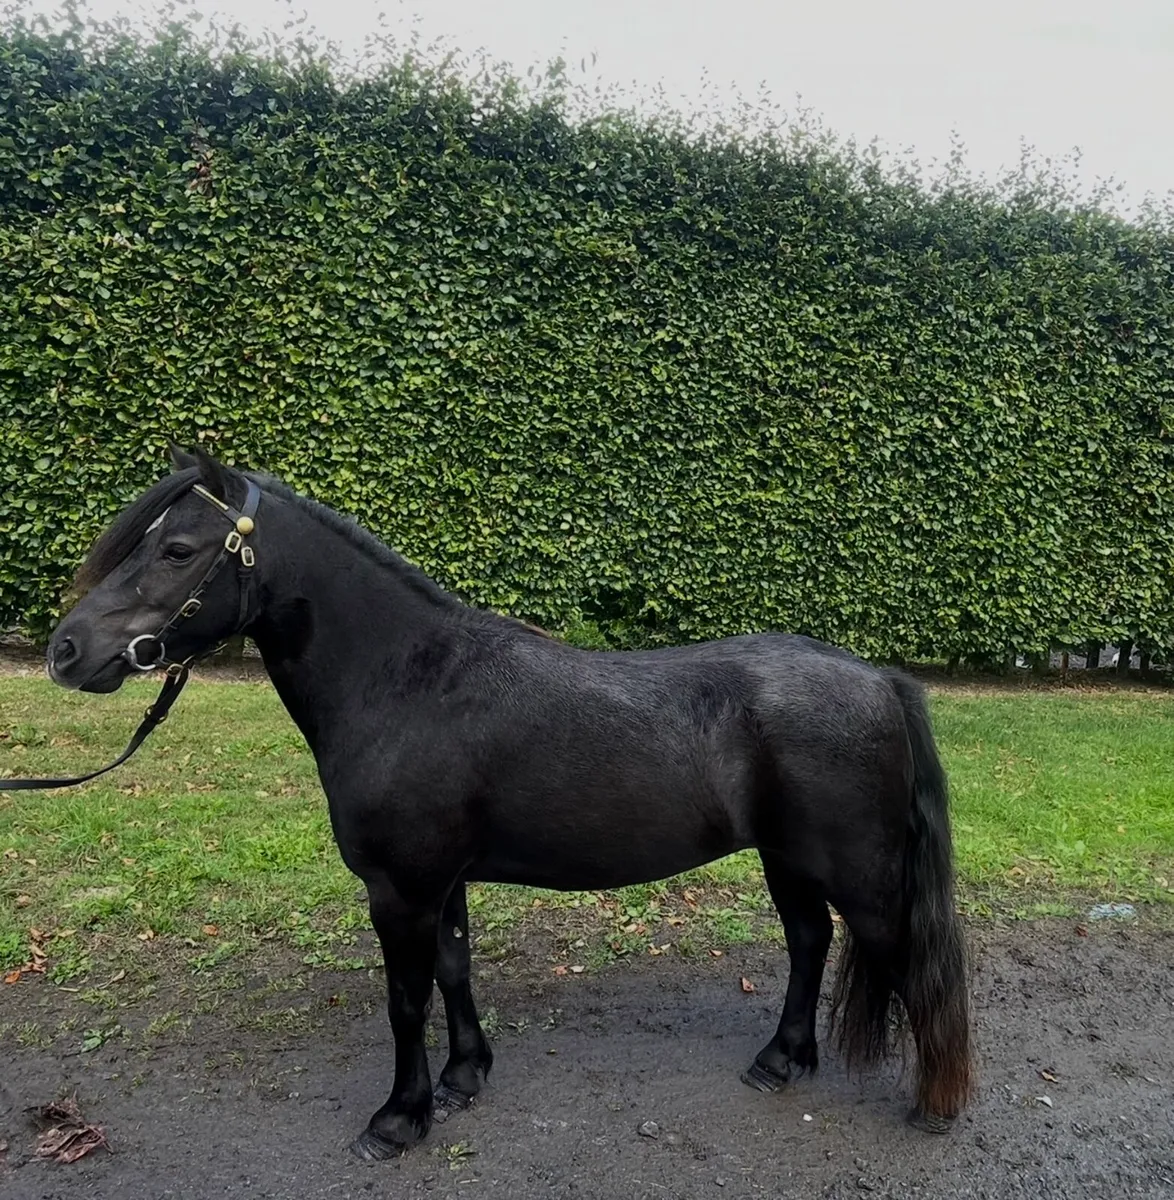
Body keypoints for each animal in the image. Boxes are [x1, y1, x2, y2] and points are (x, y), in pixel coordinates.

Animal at [41, 445, 973, 1158]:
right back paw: (780, 1062)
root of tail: (878, 679)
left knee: (910, 964)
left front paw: (398, 1120)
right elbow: (454, 971)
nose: (66, 649)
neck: (409, 683)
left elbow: (405, 998)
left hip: (859, 875)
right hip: (789, 862)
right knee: (810, 943)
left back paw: (935, 1104)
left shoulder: (401, 890)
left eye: (177, 549)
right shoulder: (441, 883)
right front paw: (462, 1080)